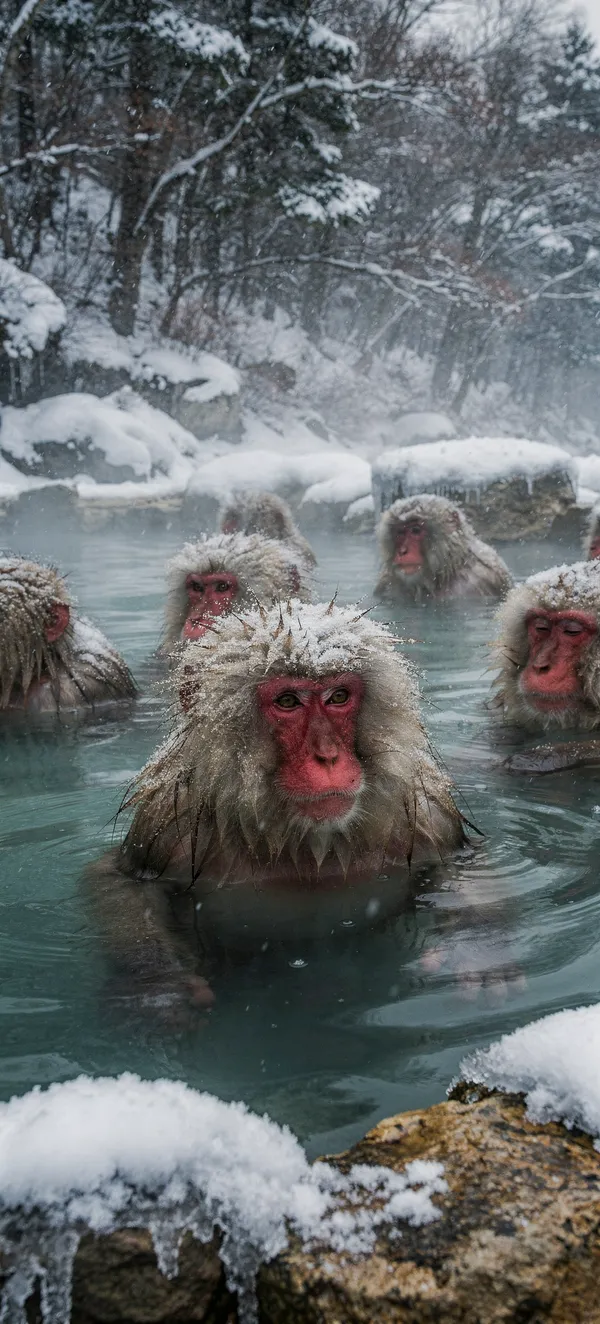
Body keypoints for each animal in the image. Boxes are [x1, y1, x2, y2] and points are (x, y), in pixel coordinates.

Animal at [88, 601, 468, 1006]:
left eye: (338, 697)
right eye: (288, 702)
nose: (328, 756)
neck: (308, 842)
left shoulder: (430, 820)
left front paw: (470, 952)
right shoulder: (164, 830)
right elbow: (120, 882)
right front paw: (159, 985)